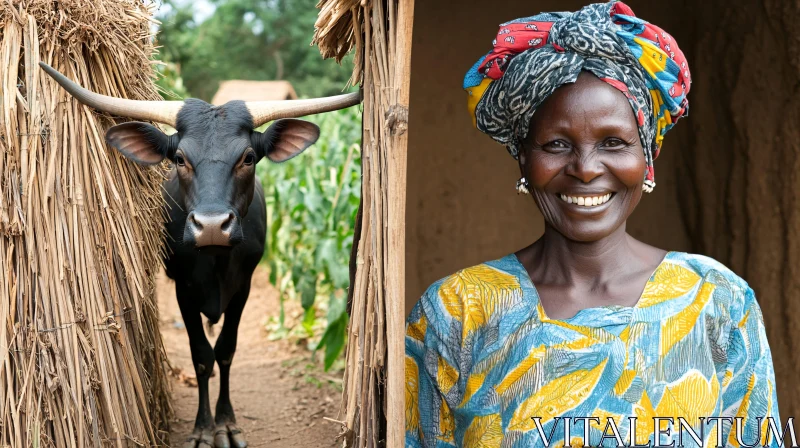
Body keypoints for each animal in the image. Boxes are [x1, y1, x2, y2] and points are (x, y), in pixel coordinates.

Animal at [39, 63, 360, 448]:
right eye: (179, 159)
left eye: (248, 157)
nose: (210, 225)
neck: (215, 261)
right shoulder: (183, 290)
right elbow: (202, 356)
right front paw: (204, 429)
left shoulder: (244, 287)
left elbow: (225, 350)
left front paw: (227, 424)